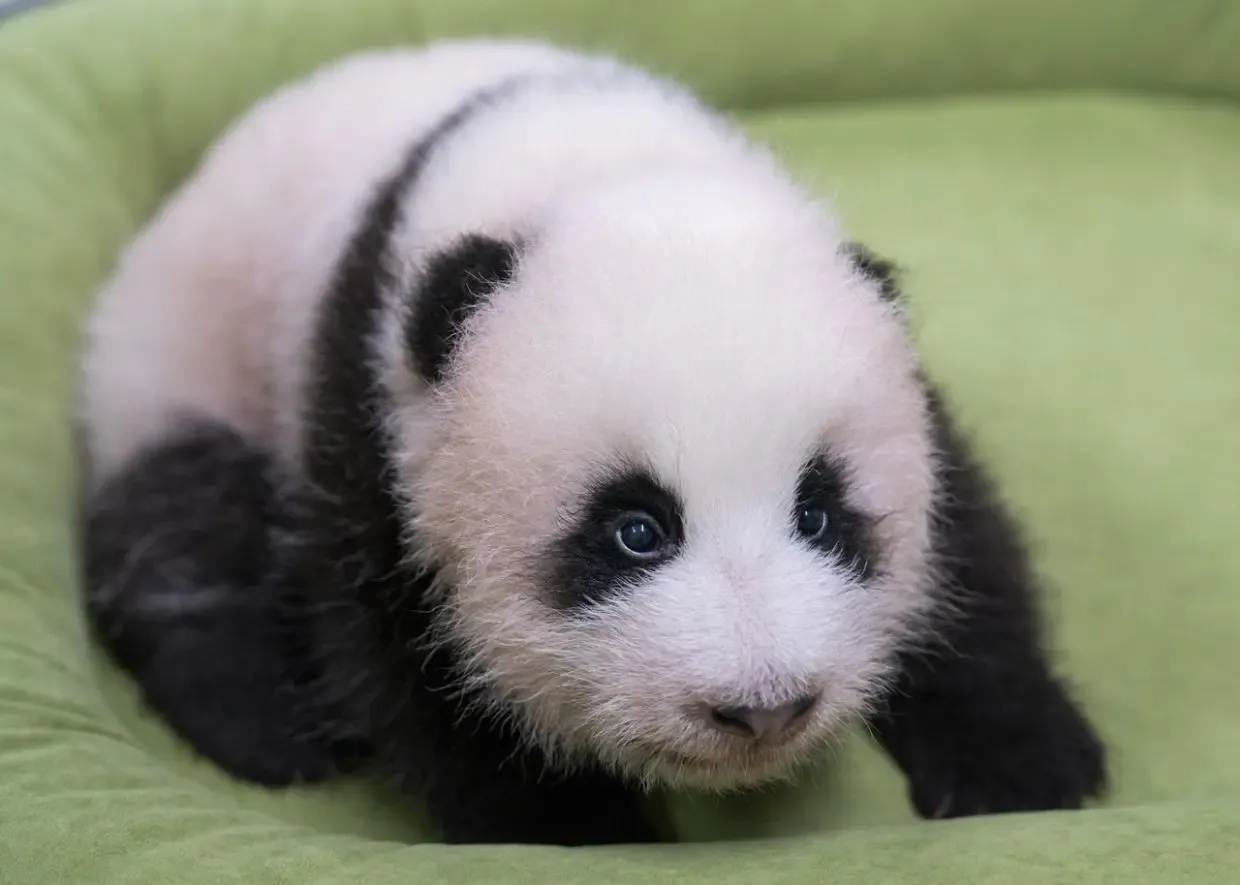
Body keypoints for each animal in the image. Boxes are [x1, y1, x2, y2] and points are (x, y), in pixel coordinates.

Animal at [75, 39, 1107, 846]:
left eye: (821, 513)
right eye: (635, 530)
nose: (763, 706)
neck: (596, 168)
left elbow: (966, 551)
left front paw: (1026, 764)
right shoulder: (372, 406)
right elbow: (411, 655)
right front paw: (575, 828)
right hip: (184, 343)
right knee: (186, 525)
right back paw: (264, 721)